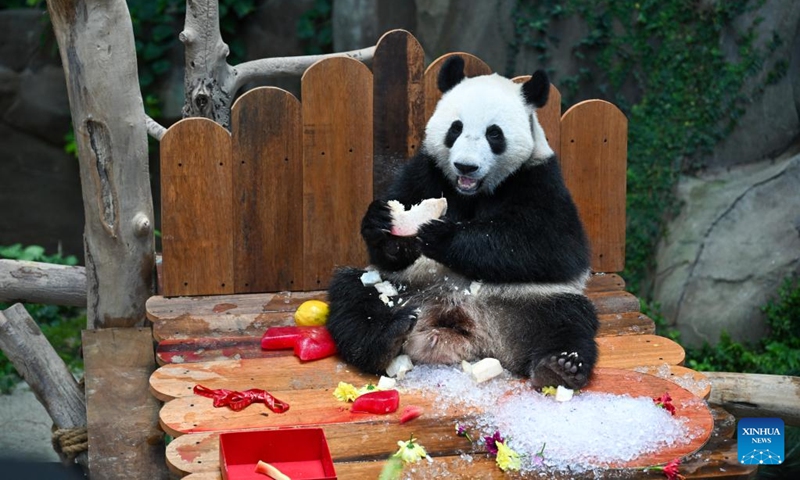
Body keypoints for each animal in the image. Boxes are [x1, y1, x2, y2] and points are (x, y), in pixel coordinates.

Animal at [326, 55, 600, 390]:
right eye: (455, 129)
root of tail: (464, 324)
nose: (465, 166)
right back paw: (385, 337)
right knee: (352, 298)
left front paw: (442, 236)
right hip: (402, 287)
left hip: (531, 301)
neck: (472, 191)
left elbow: (553, 246)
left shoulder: (539, 178)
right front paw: (384, 225)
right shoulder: (426, 170)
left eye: (494, 134)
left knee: (568, 322)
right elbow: (389, 240)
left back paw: (560, 366)